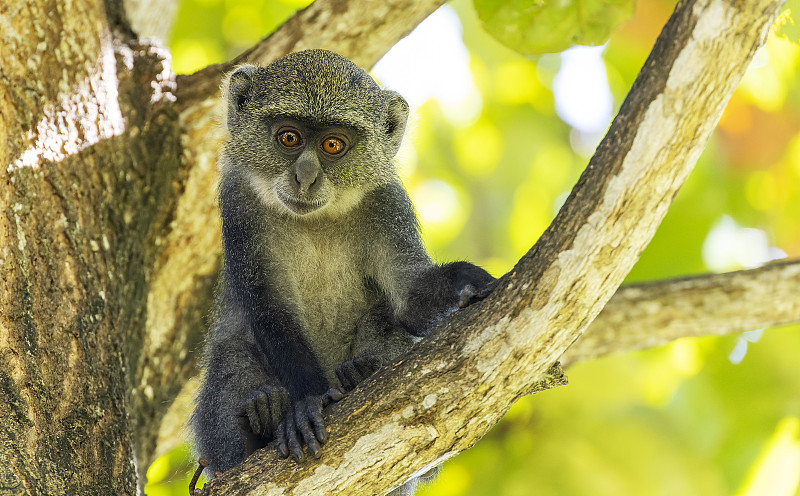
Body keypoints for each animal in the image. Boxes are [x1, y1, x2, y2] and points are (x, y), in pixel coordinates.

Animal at [193, 48, 494, 494]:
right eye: (289, 138)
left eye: (333, 144)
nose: (305, 177)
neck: (317, 220)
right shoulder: (239, 201)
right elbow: (271, 311)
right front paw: (307, 402)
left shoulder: (387, 203)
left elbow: (409, 299)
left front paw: (468, 280)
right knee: (232, 351)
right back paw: (258, 424)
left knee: (382, 319)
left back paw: (359, 374)